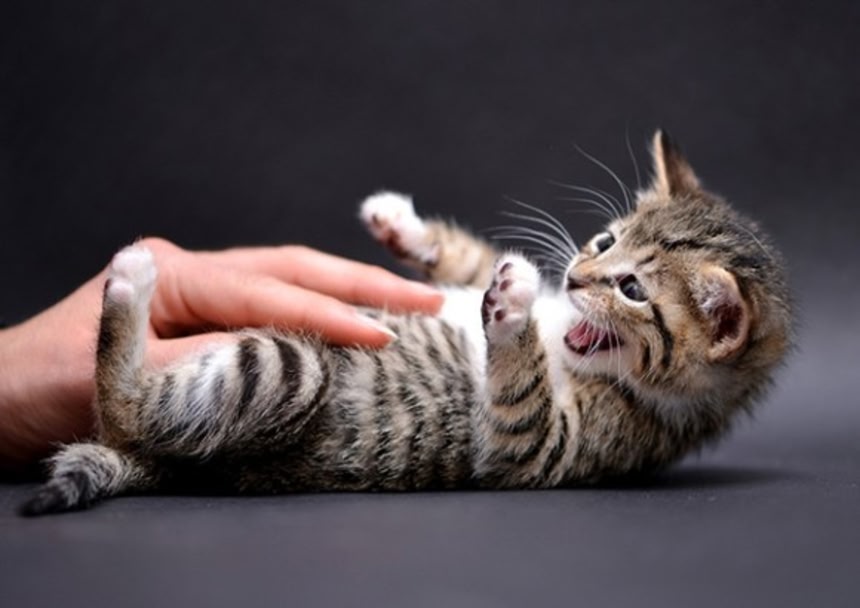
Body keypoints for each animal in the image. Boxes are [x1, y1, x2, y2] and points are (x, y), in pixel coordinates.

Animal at [20, 130, 792, 515]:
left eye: (632, 288)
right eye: (604, 242)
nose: (574, 276)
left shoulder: (564, 447)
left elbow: (523, 419)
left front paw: (512, 309)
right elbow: (465, 263)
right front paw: (401, 223)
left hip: (286, 373)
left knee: (128, 402)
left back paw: (130, 283)